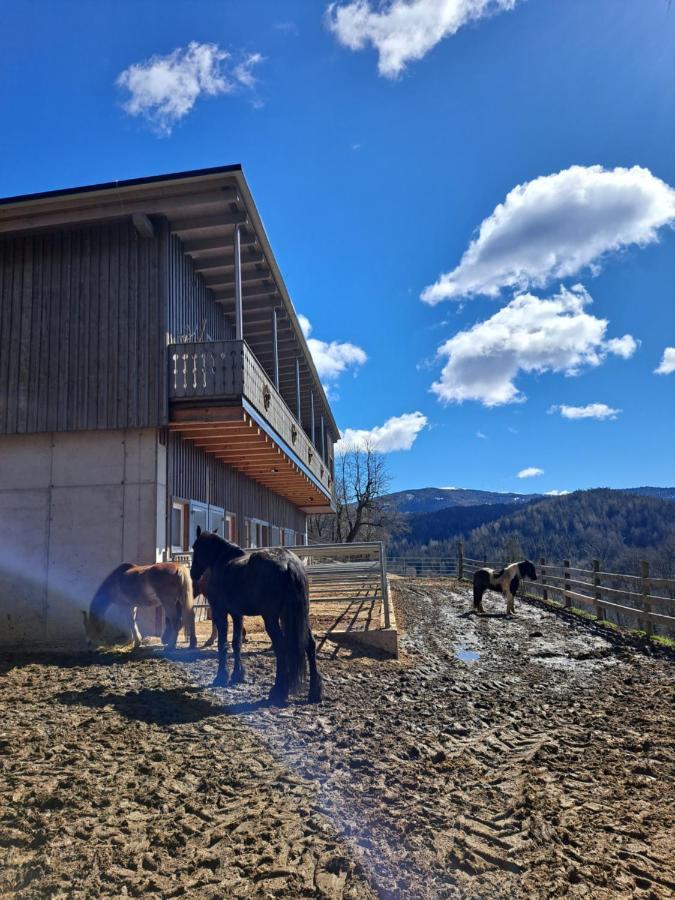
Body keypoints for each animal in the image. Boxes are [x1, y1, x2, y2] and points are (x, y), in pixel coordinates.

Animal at [191, 528, 324, 704]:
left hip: (271, 619)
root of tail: (289, 564)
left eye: (195, 547)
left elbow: (222, 644)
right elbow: (237, 643)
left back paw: (278, 691)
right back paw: (314, 692)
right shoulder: (237, 614)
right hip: (300, 616)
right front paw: (237, 675)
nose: (192, 573)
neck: (223, 562)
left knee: (281, 648)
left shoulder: (220, 611)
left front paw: (221, 677)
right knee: (310, 645)